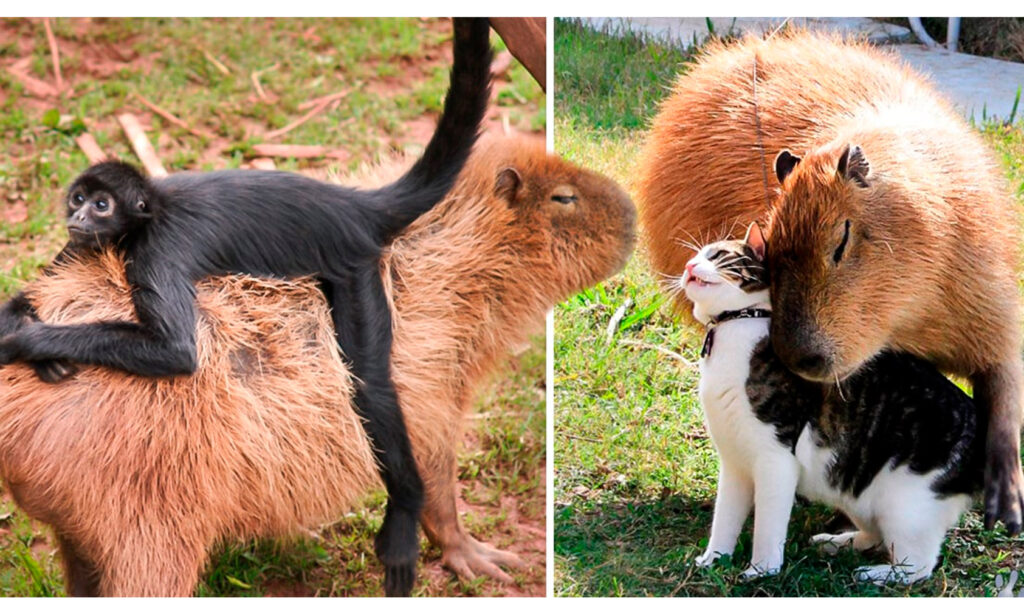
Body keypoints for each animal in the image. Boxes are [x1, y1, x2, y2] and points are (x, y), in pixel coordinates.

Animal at [0, 16, 491, 597]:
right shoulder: (85, 246)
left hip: (355, 267)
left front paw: (28, 341)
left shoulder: (158, 249)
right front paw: (31, 338)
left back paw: (406, 515)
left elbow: (177, 352)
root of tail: (351, 203)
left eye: (101, 204)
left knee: (371, 384)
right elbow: (30, 291)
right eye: (79, 199)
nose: (78, 216)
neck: (150, 210)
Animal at [679, 224, 983, 585]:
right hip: (855, 489)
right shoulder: (735, 462)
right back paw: (838, 543)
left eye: (717, 255)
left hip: (906, 507)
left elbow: (768, 525)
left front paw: (761, 570)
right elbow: (724, 518)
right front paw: (713, 559)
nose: (689, 266)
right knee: (876, 535)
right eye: (696, 256)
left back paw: (875, 574)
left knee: (919, 565)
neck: (735, 327)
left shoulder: (775, 459)